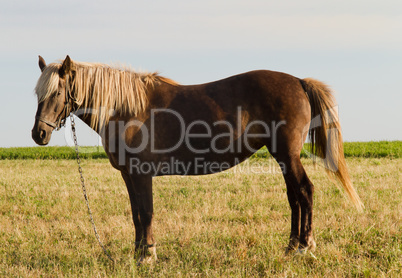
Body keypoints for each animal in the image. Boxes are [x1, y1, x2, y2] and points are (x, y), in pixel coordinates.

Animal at [32, 55, 364, 264]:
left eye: (57, 92)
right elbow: (136, 214)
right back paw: (291, 246)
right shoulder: (129, 175)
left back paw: (304, 247)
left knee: (305, 191)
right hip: (282, 157)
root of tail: (298, 81)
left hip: (287, 154)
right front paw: (138, 254)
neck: (125, 107)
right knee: (293, 196)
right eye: (37, 93)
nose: (39, 134)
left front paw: (148, 256)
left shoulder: (141, 174)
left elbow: (146, 213)